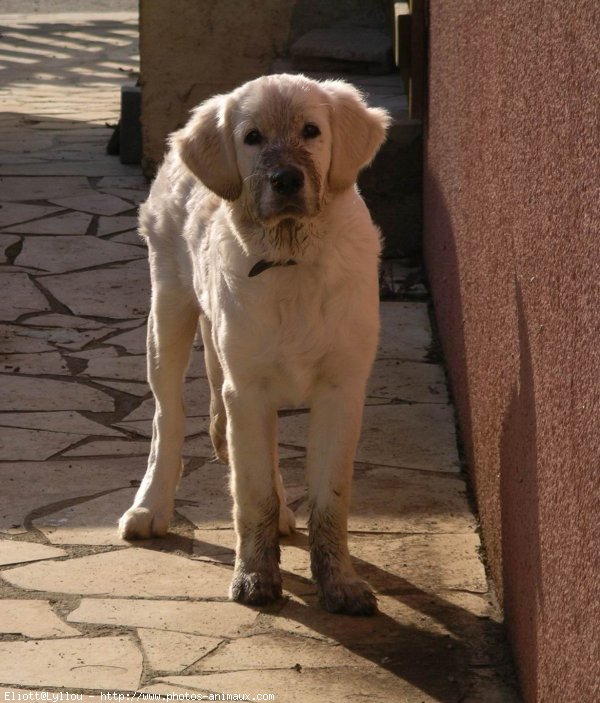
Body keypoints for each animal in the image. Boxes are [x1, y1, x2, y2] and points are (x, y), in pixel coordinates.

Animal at [118, 73, 390, 616]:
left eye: (311, 131)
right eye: (252, 138)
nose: (286, 180)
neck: (290, 261)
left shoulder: (340, 391)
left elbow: (330, 499)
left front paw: (341, 584)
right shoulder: (246, 390)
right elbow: (252, 495)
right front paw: (256, 578)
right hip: (168, 312)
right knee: (167, 419)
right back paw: (150, 506)